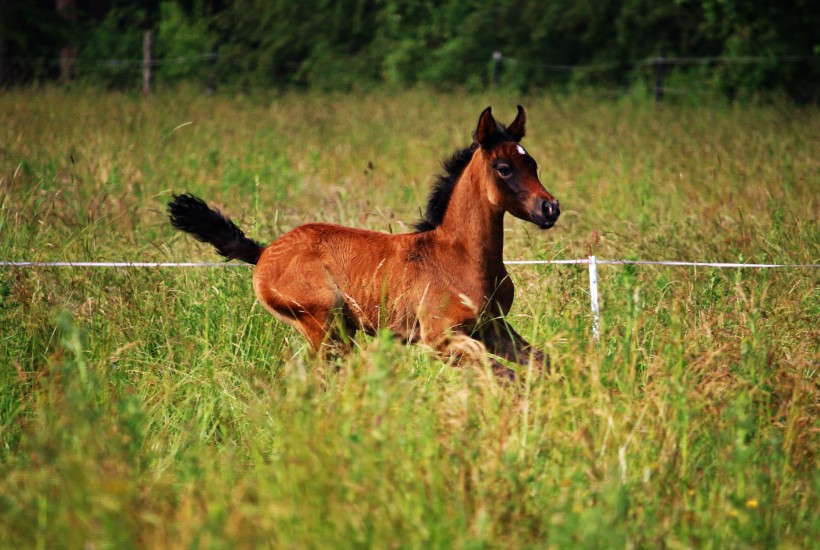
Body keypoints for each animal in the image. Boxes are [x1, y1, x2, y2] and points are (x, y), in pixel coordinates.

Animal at [170, 106, 560, 380]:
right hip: (326, 328)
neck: (460, 257)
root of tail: (263, 252)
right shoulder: (441, 340)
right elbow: (503, 377)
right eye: (504, 168)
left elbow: (541, 364)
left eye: (534, 164)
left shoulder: (494, 328)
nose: (550, 208)